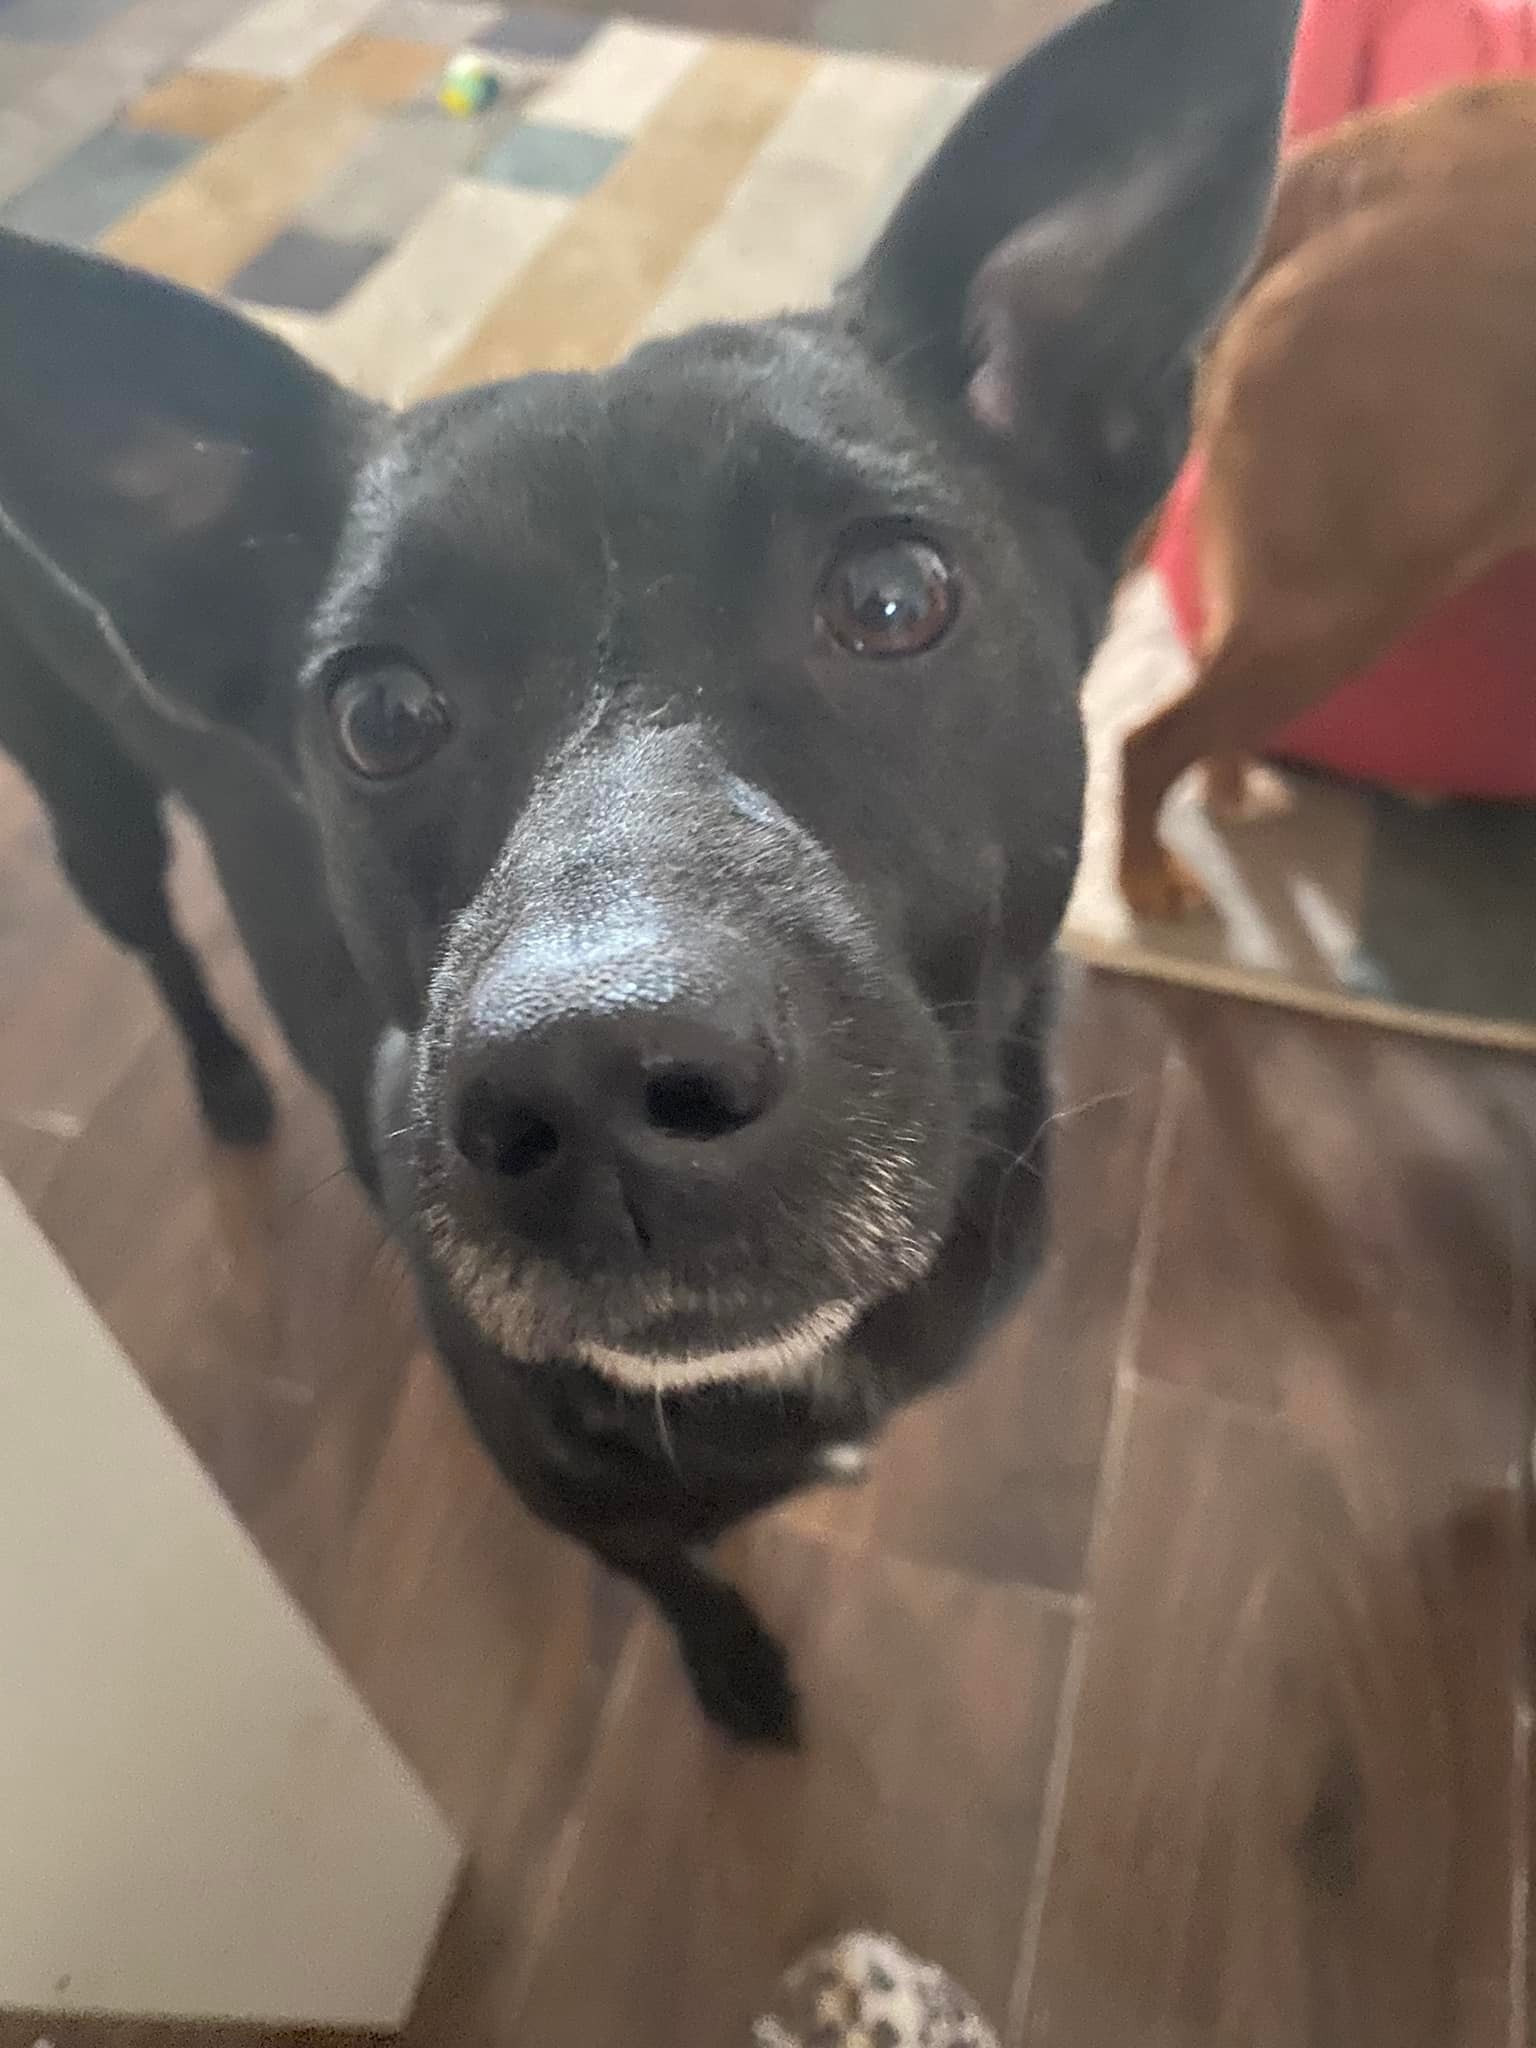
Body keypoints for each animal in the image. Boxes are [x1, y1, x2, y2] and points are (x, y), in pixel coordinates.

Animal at [0, 0, 1297, 1743]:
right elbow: (681, 1575)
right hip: (88, 804)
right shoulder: (578, 1501)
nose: (594, 1077)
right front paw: (739, 1672)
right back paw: (222, 1081)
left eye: (894, 597)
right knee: (154, 940)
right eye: (380, 713)